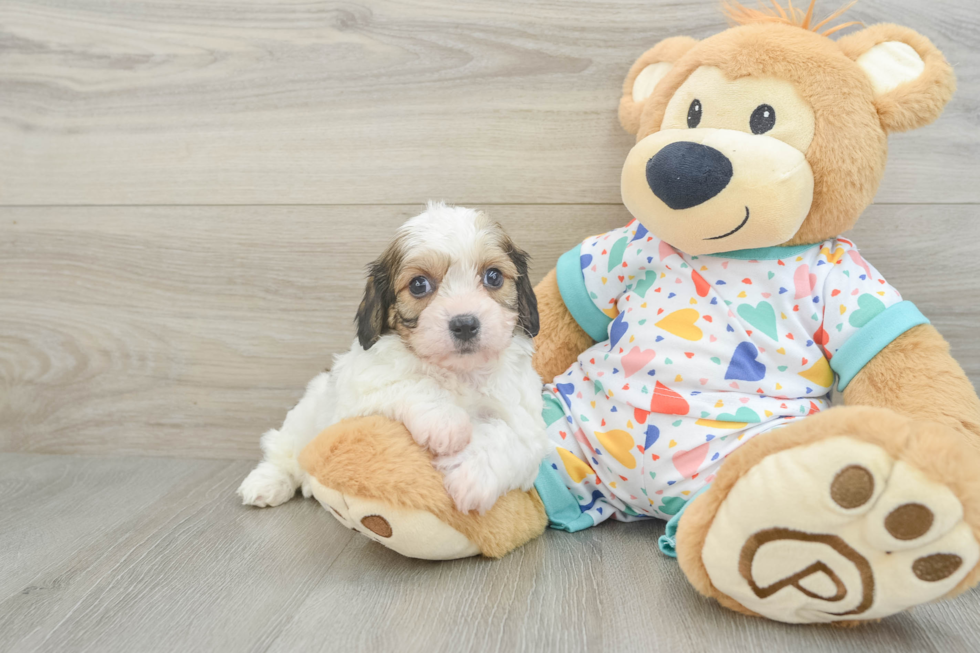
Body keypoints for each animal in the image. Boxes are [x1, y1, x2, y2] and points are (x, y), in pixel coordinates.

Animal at [234, 204, 548, 516]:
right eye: (419, 284)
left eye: (493, 277)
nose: (465, 324)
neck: (458, 372)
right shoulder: (363, 391)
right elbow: (413, 383)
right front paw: (446, 422)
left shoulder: (527, 420)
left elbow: (509, 435)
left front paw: (471, 476)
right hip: (305, 414)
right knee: (284, 450)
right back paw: (267, 482)